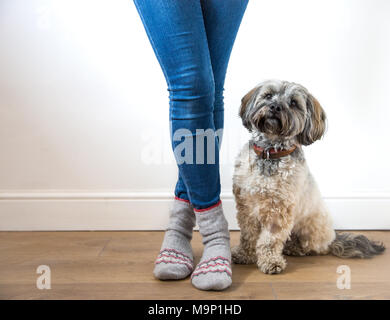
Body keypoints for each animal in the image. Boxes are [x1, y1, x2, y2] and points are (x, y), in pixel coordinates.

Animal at [232, 79, 384, 274]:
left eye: (293, 103)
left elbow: (270, 240)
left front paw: (271, 261)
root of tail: (333, 236)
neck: (270, 153)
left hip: (310, 229)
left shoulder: (278, 210)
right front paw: (244, 254)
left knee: (314, 247)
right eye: (268, 95)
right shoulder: (247, 207)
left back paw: (294, 248)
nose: (275, 107)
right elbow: (248, 235)